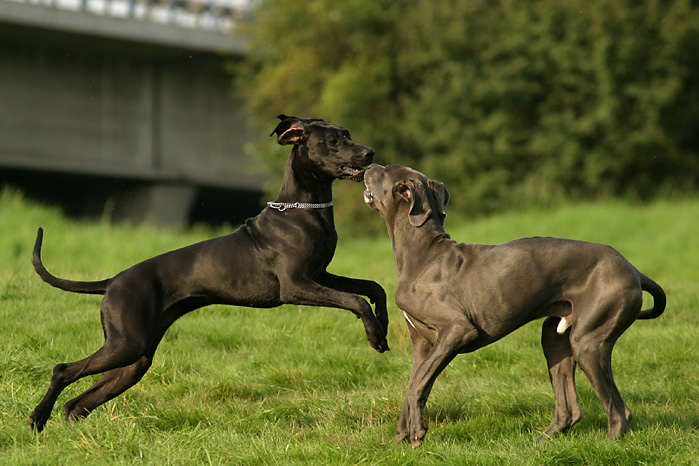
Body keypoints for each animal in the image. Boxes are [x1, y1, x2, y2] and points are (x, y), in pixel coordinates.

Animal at [30, 114, 392, 432]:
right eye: (333, 141)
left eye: (347, 133)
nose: (370, 153)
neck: (304, 211)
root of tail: (112, 281)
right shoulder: (296, 286)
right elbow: (355, 300)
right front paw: (375, 337)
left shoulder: (320, 275)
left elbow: (374, 287)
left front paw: (384, 323)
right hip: (127, 344)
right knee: (62, 371)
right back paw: (37, 419)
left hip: (134, 359)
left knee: (78, 404)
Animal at [364, 164, 668, 448]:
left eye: (385, 171)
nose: (368, 165)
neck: (422, 252)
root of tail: (634, 270)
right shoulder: (423, 345)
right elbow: (414, 384)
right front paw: (400, 439)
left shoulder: (457, 331)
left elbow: (418, 384)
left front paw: (416, 433)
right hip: (556, 339)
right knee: (571, 408)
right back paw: (541, 441)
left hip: (589, 341)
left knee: (619, 410)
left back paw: (609, 443)